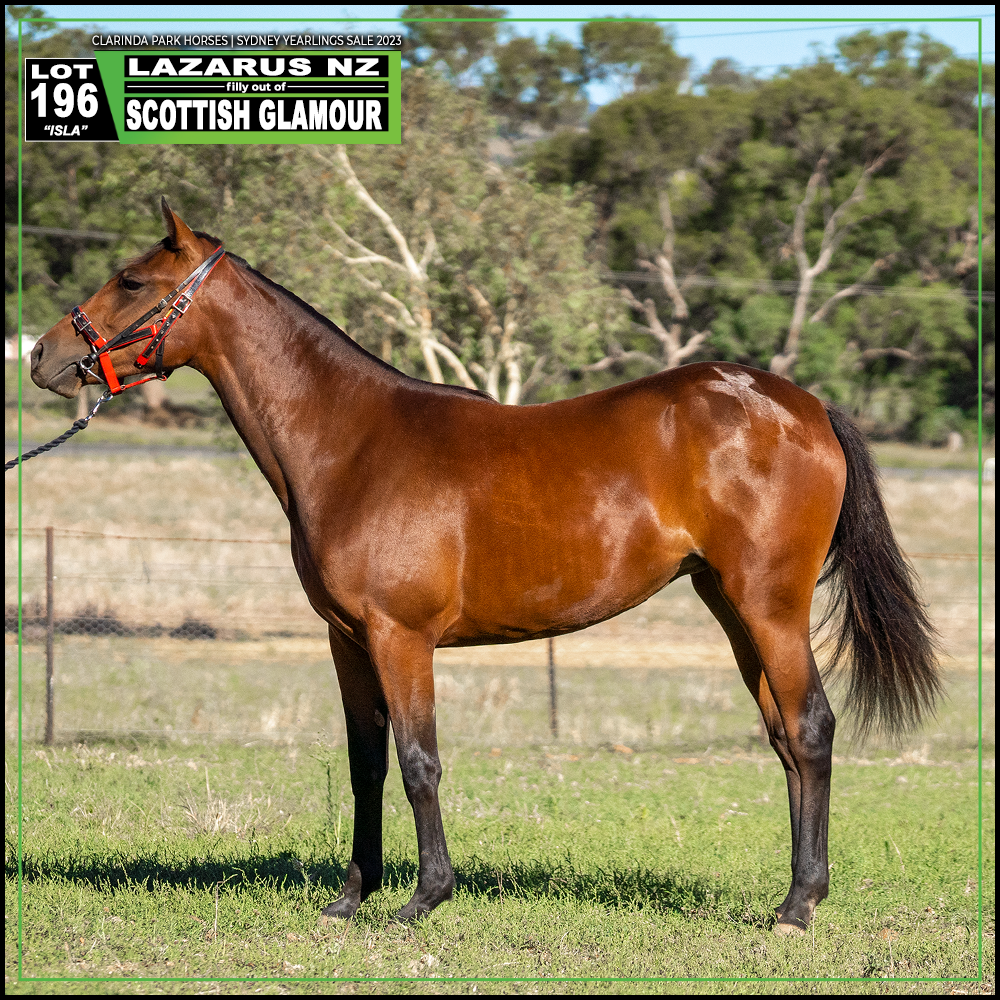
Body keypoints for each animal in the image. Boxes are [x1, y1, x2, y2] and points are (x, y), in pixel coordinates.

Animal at [29, 200, 939, 935]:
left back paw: (797, 907)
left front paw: (423, 899)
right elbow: (365, 763)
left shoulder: (401, 637)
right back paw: (795, 895)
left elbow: (418, 761)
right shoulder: (347, 641)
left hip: (770, 604)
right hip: (731, 605)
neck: (351, 442)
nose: (41, 355)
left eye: (131, 280)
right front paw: (350, 896)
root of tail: (805, 405)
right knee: (785, 737)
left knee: (812, 729)